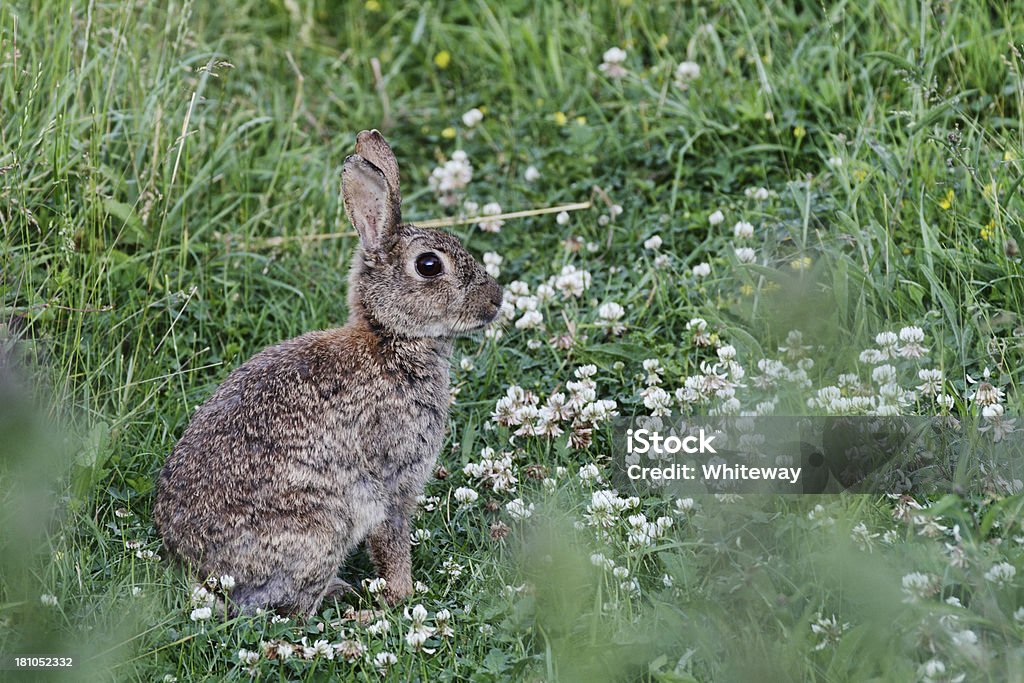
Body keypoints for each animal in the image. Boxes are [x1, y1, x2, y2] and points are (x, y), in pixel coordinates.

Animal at [152, 127, 503, 614]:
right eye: (429, 265)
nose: (496, 299)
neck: (391, 340)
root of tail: (201, 570)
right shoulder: (393, 482)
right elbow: (392, 541)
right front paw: (401, 594)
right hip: (321, 528)